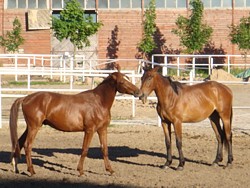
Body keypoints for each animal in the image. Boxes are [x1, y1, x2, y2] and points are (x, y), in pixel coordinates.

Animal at [8, 64, 140, 176]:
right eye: (122, 81)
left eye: (128, 78)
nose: (138, 92)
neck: (98, 102)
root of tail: (25, 98)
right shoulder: (89, 130)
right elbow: (85, 149)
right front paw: (80, 171)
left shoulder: (102, 129)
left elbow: (105, 149)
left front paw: (110, 170)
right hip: (34, 127)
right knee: (28, 146)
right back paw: (31, 171)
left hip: (30, 127)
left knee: (19, 143)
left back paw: (16, 168)